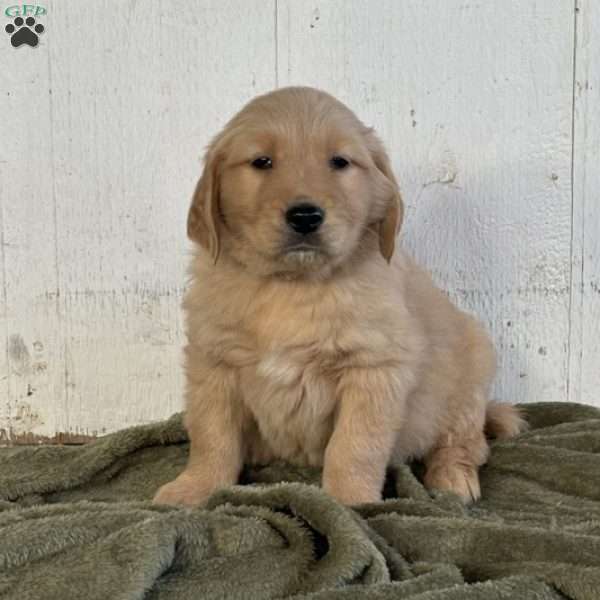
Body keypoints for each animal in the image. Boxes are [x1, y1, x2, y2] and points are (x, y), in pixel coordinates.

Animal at [155, 85, 524, 506]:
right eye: (262, 161)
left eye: (339, 162)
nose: (305, 216)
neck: (292, 285)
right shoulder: (212, 363)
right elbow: (211, 436)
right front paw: (194, 487)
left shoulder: (375, 368)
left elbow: (354, 445)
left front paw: (351, 502)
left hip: (471, 371)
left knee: (466, 442)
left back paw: (452, 477)